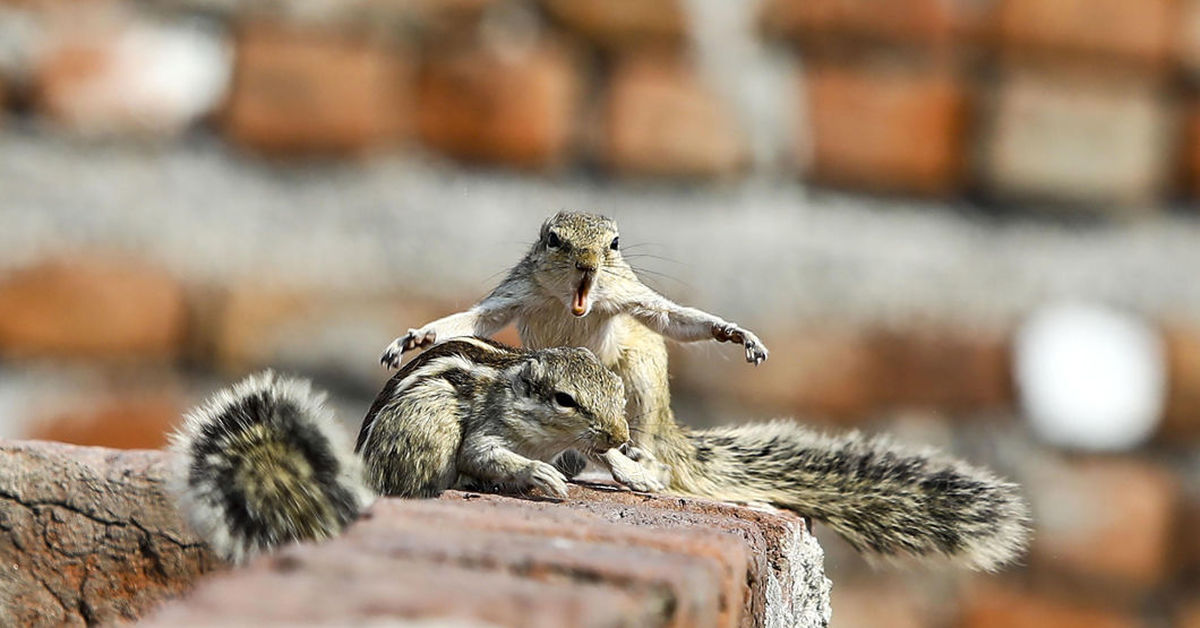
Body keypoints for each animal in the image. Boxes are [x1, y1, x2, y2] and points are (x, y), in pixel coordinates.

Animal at [379, 211, 1027, 569]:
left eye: (614, 243)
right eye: (552, 238)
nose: (589, 260)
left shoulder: (631, 298)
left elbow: (674, 316)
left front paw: (732, 332)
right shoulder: (516, 294)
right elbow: (472, 321)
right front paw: (414, 336)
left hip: (638, 379)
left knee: (638, 448)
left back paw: (633, 467)